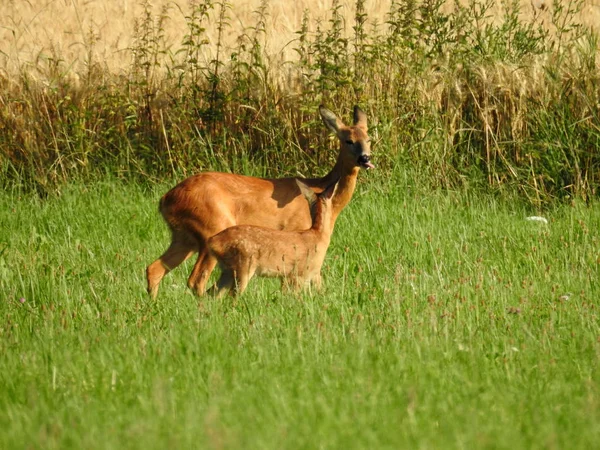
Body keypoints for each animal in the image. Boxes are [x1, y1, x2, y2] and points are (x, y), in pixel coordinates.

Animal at [206, 178, 338, 298]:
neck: (318, 235)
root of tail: (213, 241)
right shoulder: (301, 273)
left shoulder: (313, 274)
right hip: (243, 265)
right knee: (232, 296)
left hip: (228, 270)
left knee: (212, 293)